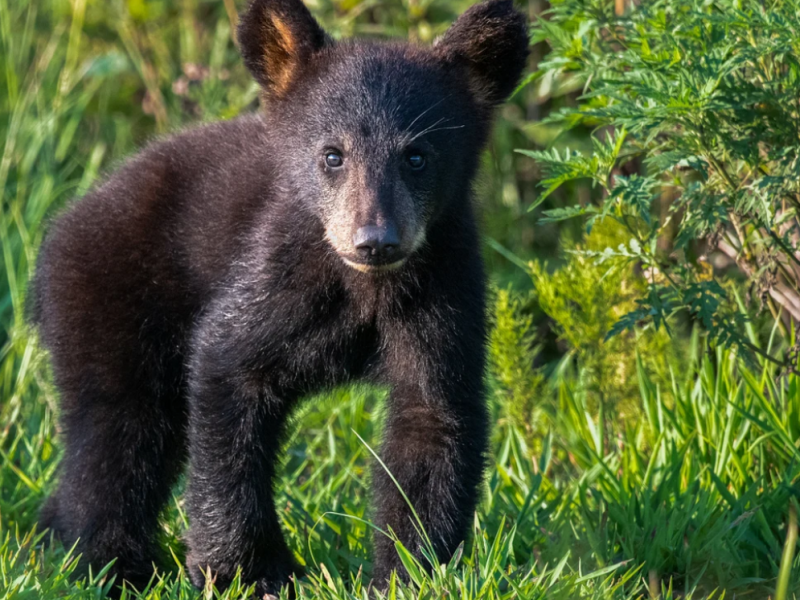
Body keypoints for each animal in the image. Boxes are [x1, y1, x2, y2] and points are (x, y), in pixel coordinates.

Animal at [29, 0, 529, 595]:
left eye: (417, 156)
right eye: (332, 155)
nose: (375, 239)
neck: (365, 286)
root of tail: (62, 227)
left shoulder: (445, 288)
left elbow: (433, 418)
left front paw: (411, 573)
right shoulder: (275, 273)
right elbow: (228, 374)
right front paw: (244, 571)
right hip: (108, 301)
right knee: (117, 438)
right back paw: (108, 565)